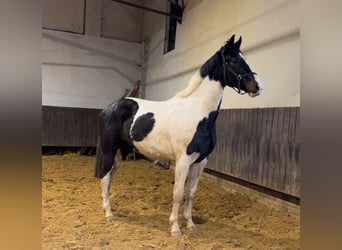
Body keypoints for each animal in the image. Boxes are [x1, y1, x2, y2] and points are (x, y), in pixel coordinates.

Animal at [95, 35, 264, 236]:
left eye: (244, 58)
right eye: (232, 60)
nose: (257, 86)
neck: (197, 112)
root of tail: (108, 108)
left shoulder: (200, 162)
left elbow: (191, 193)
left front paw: (190, 224)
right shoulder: (183, 161)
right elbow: (178, 193)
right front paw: (175, 228)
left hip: (123, 153)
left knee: (110, 176)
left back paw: (108, 208)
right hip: (109, 150)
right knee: (105, 176)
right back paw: (108, 214)